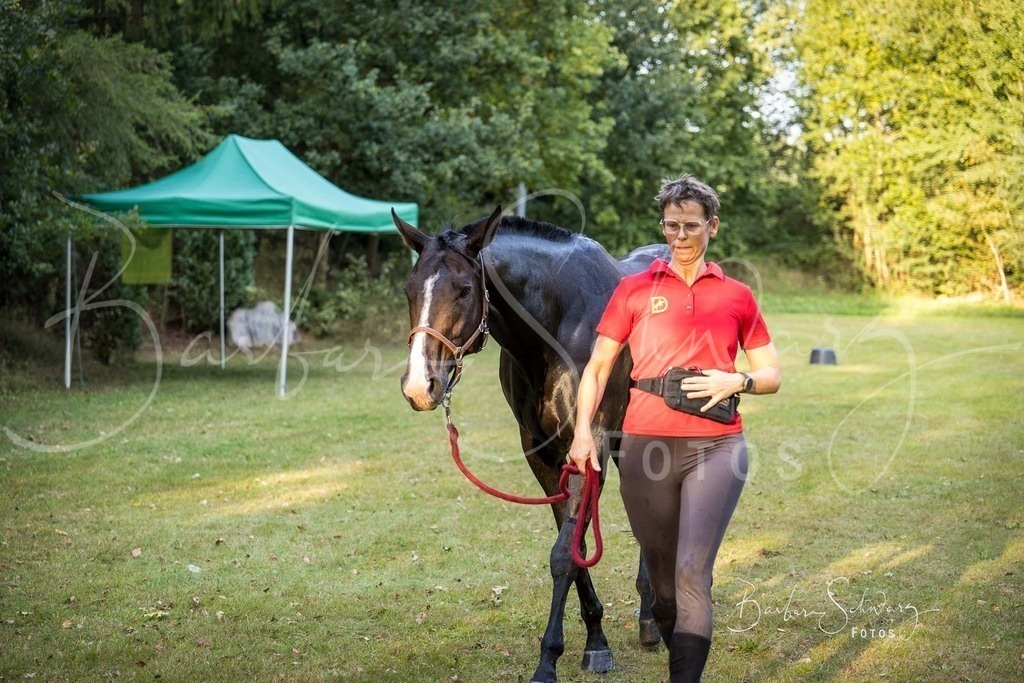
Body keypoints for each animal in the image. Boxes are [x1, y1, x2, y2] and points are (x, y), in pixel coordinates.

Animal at [392, 206, 668, 683]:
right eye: (410, 290)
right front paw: (596, 640)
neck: (558, 326)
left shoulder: (590, 445)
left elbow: (564, 556)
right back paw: (649, 618)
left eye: (465, 290)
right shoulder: (541, 453)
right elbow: (574, 545)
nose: (419, 386)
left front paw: (548, 661)